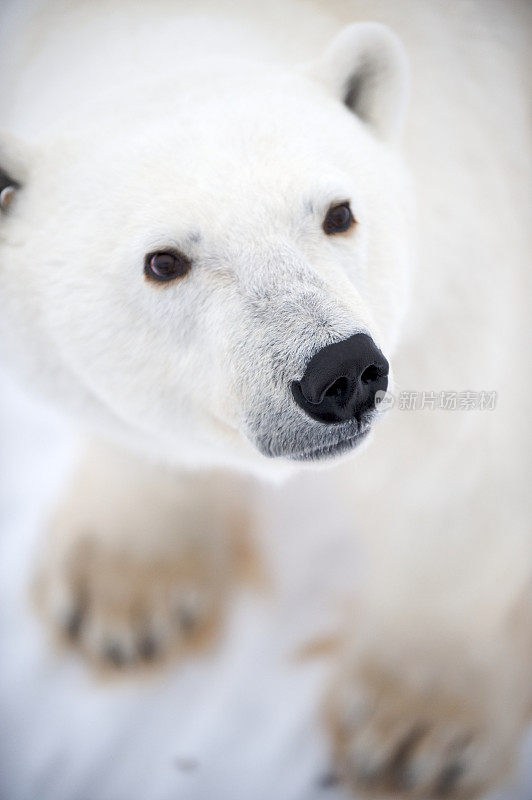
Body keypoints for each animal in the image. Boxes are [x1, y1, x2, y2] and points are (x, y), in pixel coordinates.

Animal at [0, 1, 528, 800]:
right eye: (165, 261)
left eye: (338, 212)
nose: (342, 372)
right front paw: (122, 597)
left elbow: (455, 477)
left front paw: (416, 730)